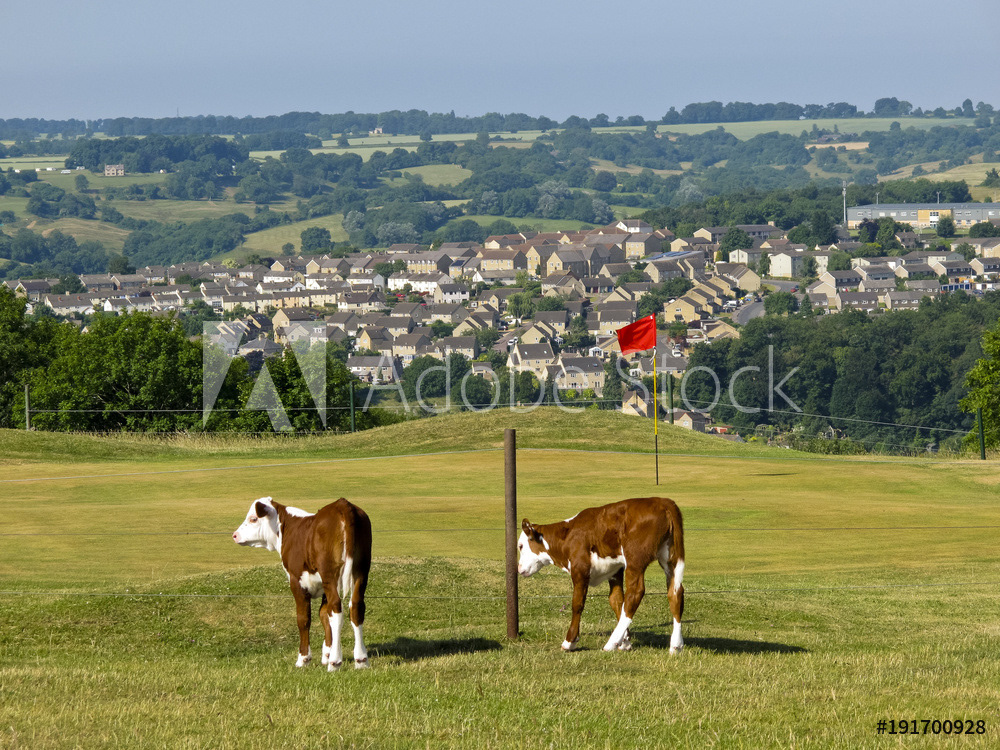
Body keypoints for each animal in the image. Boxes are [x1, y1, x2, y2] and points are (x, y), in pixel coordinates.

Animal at [232, 496, 372, 671]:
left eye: (253, 519)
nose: (235, 535)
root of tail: (342, 505)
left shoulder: (296, 581)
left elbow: (303, 619)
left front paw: (304, 658)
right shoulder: (322, 586)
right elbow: (324, 615)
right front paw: (326, 654)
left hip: (330, 573)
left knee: (336, 608)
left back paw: (335, 662)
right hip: (361, 569)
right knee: (356, 607)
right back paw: (361, 659)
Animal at [517, 496, 684, 653]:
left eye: (520, 546)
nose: (518, 569)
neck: (568, 535)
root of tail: (663, 501)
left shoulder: (580, 569)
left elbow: (577, 604)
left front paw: (570, 641)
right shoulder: (615, 570)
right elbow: (616, 601)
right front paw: (625, 642)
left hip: (635, 560)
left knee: (635, 593)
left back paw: (610, 643)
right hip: (670, 559)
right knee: (675, 593)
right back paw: (676, 645)